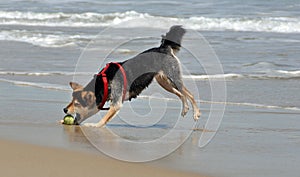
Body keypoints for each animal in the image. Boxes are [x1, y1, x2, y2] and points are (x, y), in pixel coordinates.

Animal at [62, 25, 200, 127]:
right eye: (71, 101)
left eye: (77, 104)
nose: (64, 110)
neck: (105, 82)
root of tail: (163, 48)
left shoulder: (116, 103)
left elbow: (104, 118)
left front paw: (95, 125)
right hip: (165, 83)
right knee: (181, 94)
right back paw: (185, 109)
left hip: (173, 78)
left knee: (190, 94)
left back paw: (196, 113)